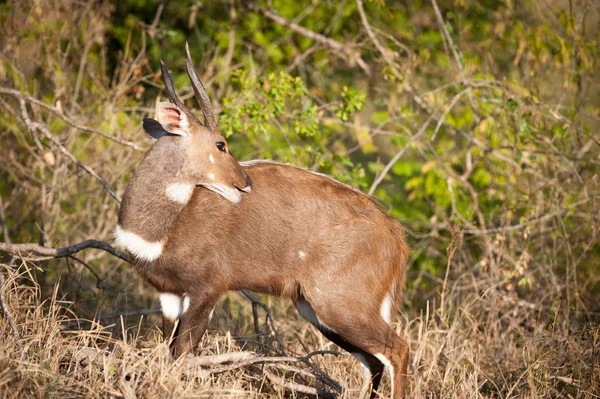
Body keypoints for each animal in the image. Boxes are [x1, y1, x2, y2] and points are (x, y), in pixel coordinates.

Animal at [115, 43, 410, 399]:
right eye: (221, 144)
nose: (245, 182)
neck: (164, 231)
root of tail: (395, 236)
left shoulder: (208, 288)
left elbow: (182, 351)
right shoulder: (169, 294)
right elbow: (169, 349)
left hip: (338, 304)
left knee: (397, 349)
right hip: (315, 309)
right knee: (374, 361)